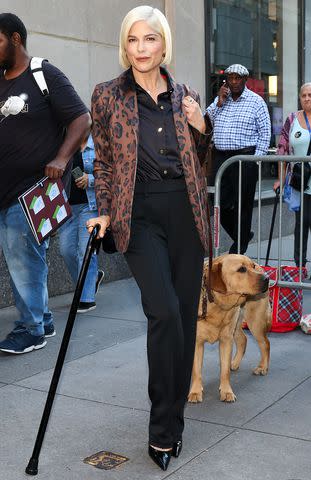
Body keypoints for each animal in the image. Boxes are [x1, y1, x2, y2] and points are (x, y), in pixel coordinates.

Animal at [189, 255, 272, 404]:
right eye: (242, 269)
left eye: (252, 266)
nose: (267, 278)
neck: (217, 303)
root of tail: (262, 266)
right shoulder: (197, 342)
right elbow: (197, 370)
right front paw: (195, 392)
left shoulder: (226, 340)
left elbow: (224, 371)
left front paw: (227, 391)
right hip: (237, 324)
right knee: (243, 339)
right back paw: (235, 363)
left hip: (255, 321)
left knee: (265, 343)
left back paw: (262, 367)